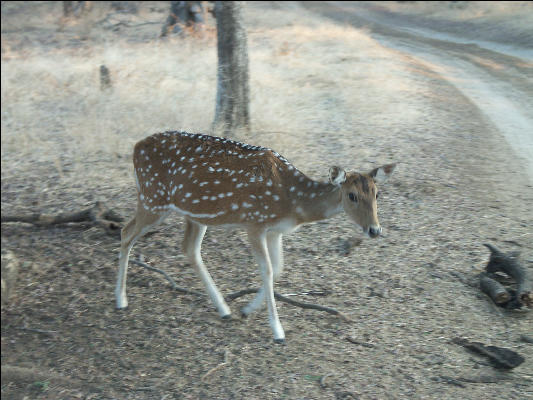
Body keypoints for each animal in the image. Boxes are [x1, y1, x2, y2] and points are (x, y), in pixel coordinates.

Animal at [114, 131, 392, 344]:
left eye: (377, 194)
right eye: (352, 195)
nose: (374, 230)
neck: (292, 203)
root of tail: (135, 147)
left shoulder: (275, 230)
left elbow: (278, 268)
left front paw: (246, 309)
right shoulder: (254, 222)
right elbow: (267, 270)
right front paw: (278, 331)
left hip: (193, 213)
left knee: (189, 249)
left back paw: (224, 309)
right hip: (153, 198)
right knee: (126, 232)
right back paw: (121, 300)